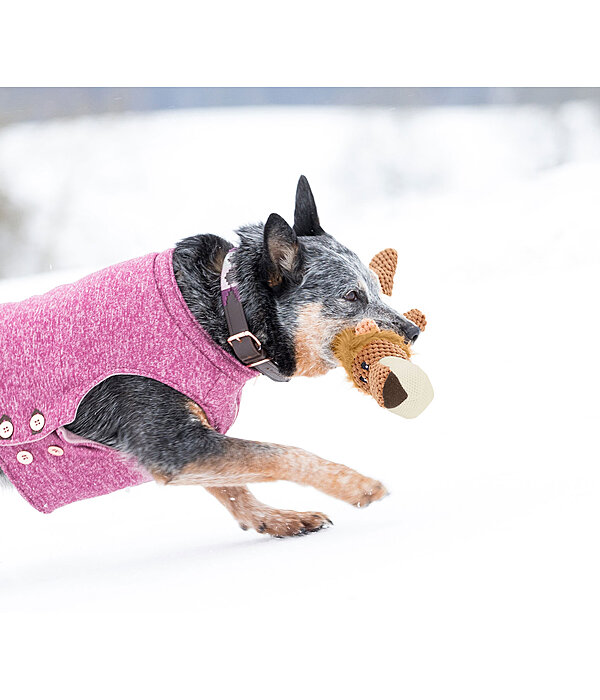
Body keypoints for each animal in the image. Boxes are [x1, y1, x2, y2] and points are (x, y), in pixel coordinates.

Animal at [1, 176, 422, 536]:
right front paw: (356, 484)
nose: (413, 331)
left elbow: (234, 487)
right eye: (352, 296)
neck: (221, 311)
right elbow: (281, 454)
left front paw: (275, 519)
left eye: (376, 287)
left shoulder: (190, 445)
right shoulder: (172, 443)